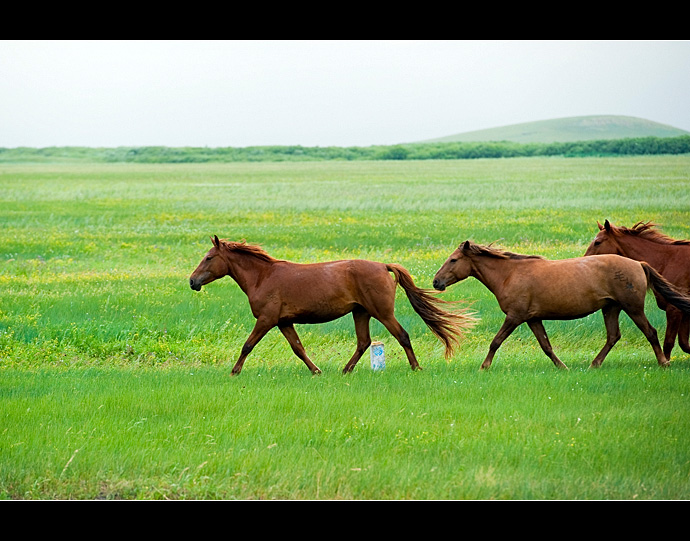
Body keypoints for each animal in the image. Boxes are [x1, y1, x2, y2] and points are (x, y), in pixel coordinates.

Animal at [191, 236, 476, 376]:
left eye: (209, 257)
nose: (192, 281)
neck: (263, 276)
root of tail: (383, 265)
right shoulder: (284, 322)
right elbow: (298, 348)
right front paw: (316, 371)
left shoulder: (267, 320)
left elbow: (247, 345)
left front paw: (234, 371)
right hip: (361, 313)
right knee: (363, 342)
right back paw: (346, 370)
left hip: (382, 312)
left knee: (402, 335)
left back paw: (416, 368)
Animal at [432, 242, 688, 372]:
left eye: (453, 260)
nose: (436, 282)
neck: (509, 274)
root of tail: (639, 264)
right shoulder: (532, 318)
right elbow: (546, 346)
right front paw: (562, 367)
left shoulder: (515, 317)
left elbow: (496, 341)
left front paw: (484, 367)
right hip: (611, 308)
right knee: (613, 336)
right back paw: (594, 364)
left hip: (632, 308)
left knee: (650, 332)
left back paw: (664, 363)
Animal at [584, 219, 688, 362]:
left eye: (597, 242)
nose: (584, 259)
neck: (667, 261)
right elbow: (684, 344)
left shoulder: (674, 309)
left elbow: (669, 343)